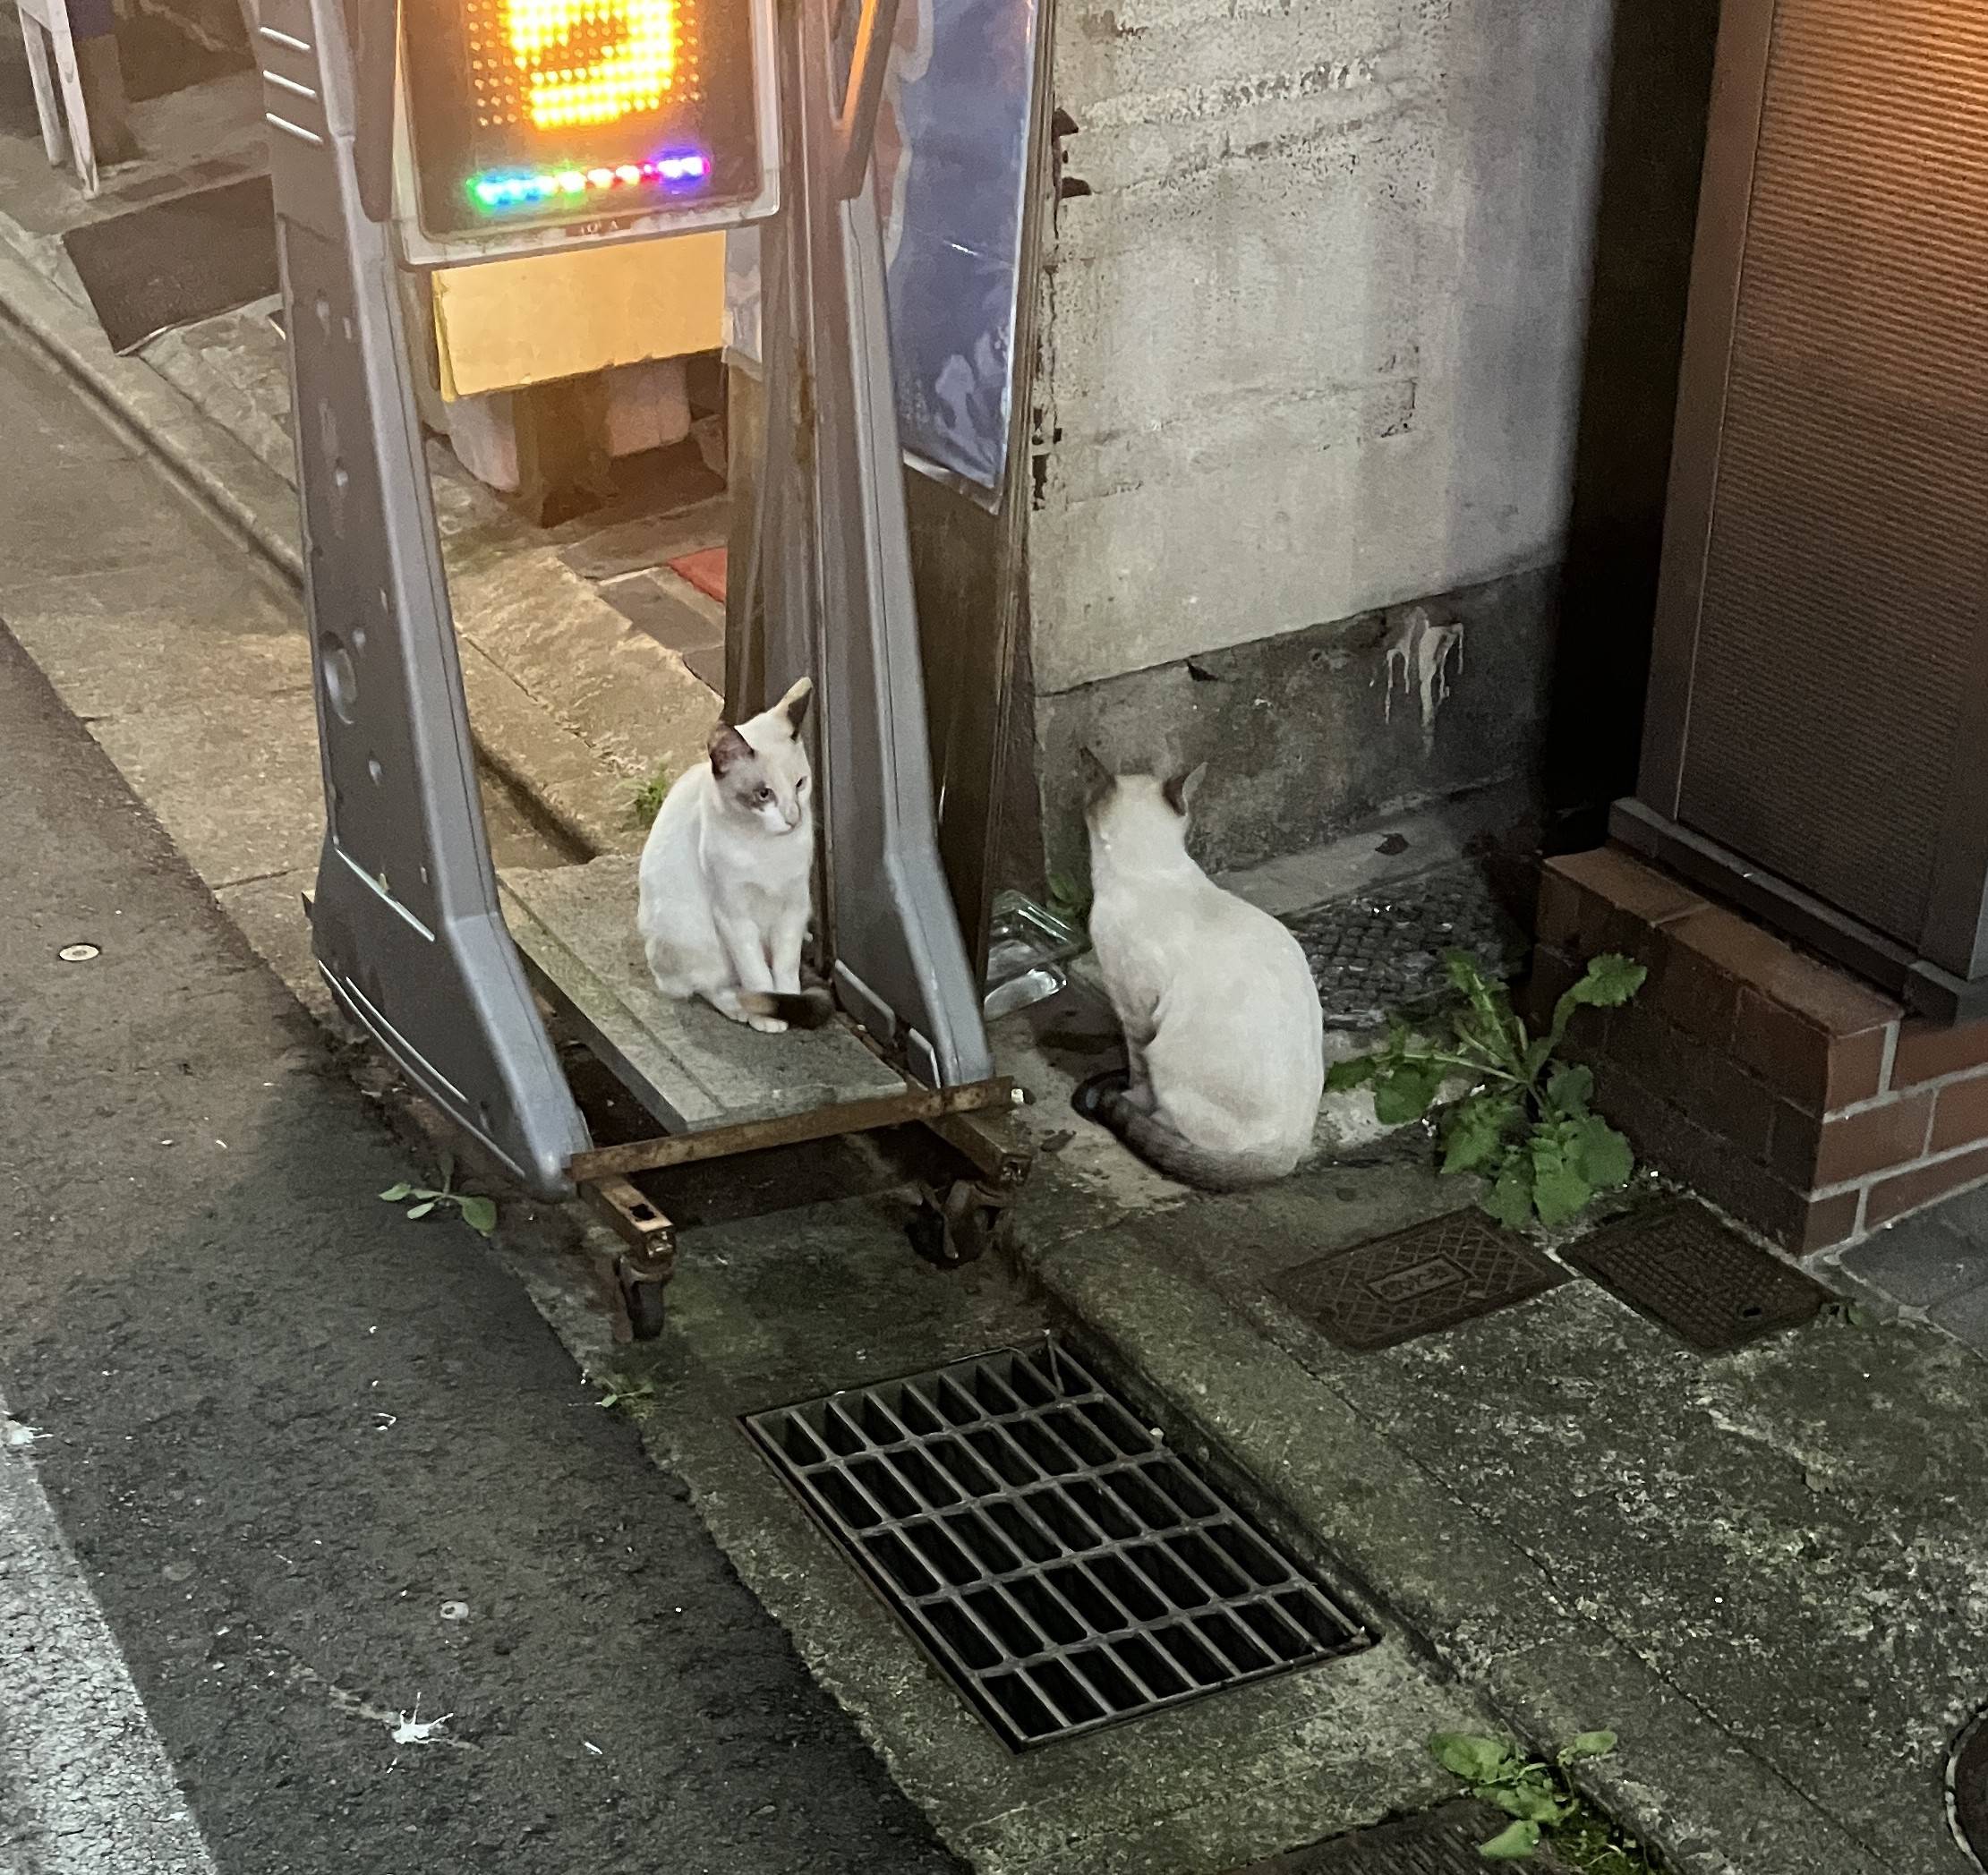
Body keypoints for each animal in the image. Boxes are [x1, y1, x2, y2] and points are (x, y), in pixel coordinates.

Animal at [632, 676, 826, 1034]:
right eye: (764, 794)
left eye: (800, 784)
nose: (793, 819)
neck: (769, 851)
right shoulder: (734, 917)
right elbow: (756, 975)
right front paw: (769, 1017)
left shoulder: (793, 907)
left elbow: (786, 969)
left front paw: (788, 1003)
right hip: (695, 938)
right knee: (707, 985)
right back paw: (739, 1005)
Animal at [1073, 755, 1319, 1192]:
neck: (1150, 869)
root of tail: (1287, 1153)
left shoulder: (1133, 1007)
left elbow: (1136, 1069)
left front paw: (1130, 1097)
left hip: (1168, 1058)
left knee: (1172, 1121)